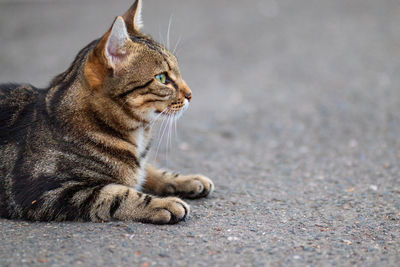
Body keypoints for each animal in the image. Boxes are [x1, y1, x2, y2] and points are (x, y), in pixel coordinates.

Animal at [0, 0, 214, 225]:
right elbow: (118, 194)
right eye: (162, 78)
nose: (190, 94)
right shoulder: (46, 191)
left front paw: (187, 180)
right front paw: (163, 203)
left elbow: (148, 171)